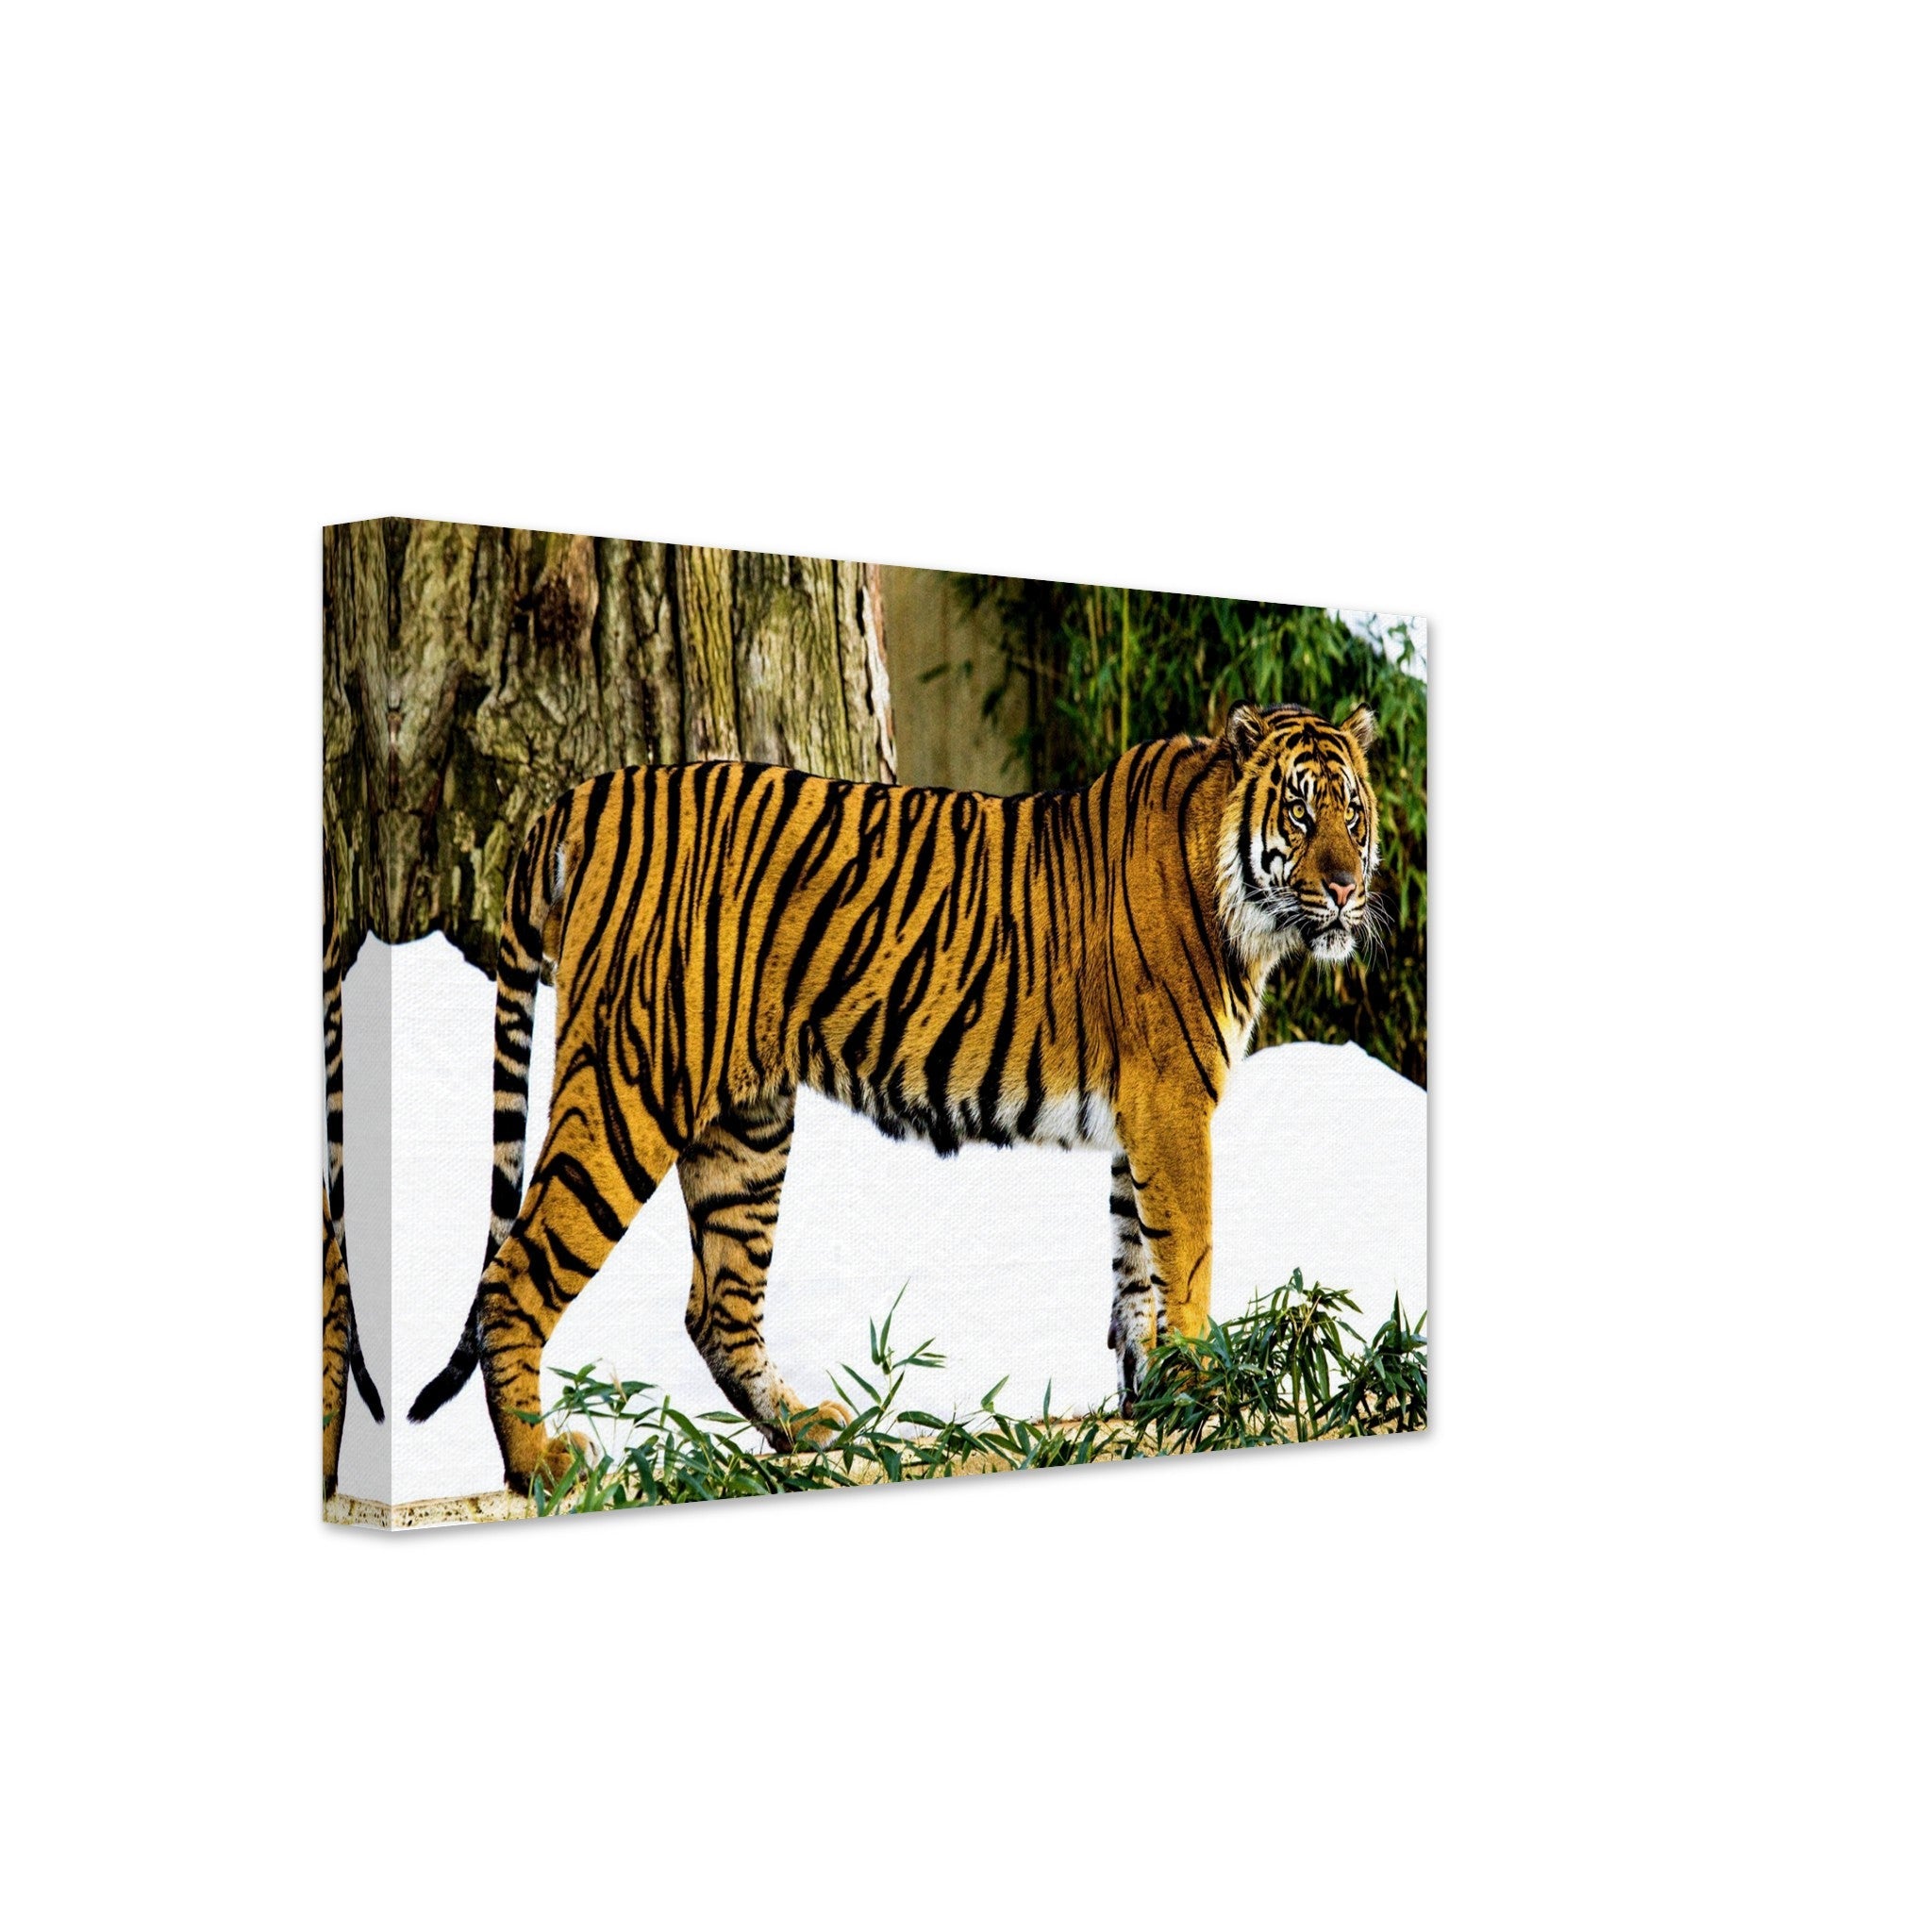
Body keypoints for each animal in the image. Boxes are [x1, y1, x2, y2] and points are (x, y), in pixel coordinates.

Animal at [408, 700, 1380, 1492]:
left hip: (746, 1126)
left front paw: (1153, 1402)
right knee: (514, 1277)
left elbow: (1135, 1267)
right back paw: (541, 1465)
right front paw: (1209, 1393)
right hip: (630, 1085)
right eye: (1299, 809)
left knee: (716, 1306)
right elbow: (1189, 1258)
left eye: (1353, 813)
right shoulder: (1172, 1105)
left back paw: (806, 1431)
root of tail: (583, 795)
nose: (1344, 885)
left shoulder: (1138, 1120)